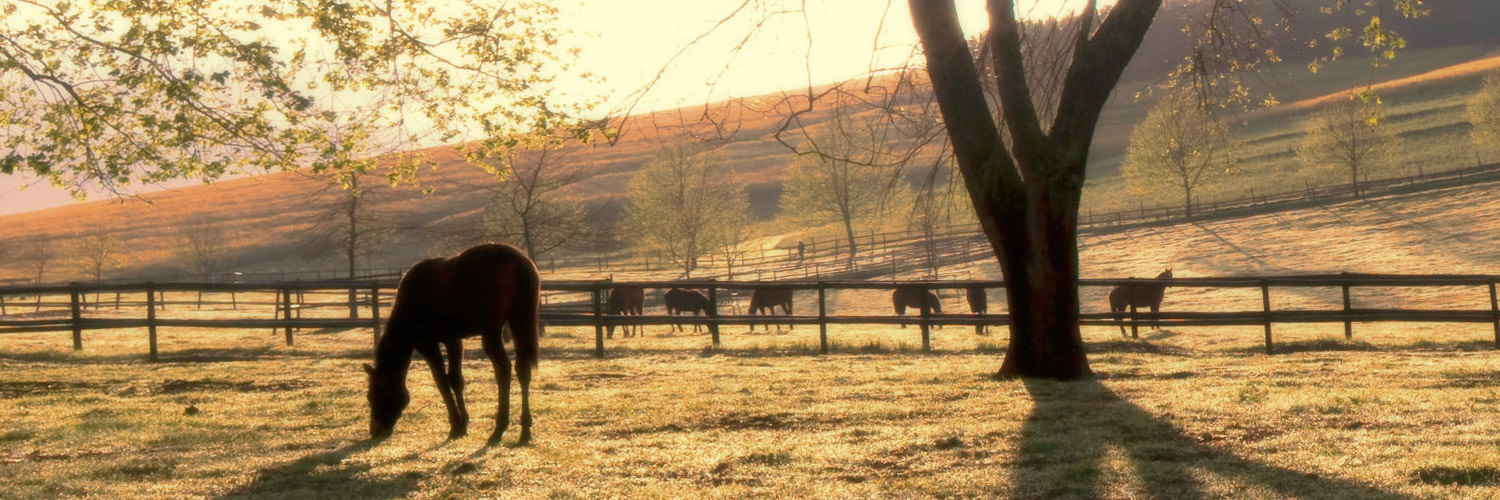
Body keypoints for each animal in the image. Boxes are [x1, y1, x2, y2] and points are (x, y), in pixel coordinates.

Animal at [364, 243, 539, 446]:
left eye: (374, 395)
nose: (376, 430)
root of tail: (519, 263)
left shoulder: (427, 343)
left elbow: (441, 380)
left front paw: (456, 424)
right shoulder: (453, 339)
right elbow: (456, 380)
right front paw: (463, 423)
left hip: (492, 330)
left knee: (503, 369)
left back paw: (499, 428)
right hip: (520, 320)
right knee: (523, 369)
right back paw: (525, 429)